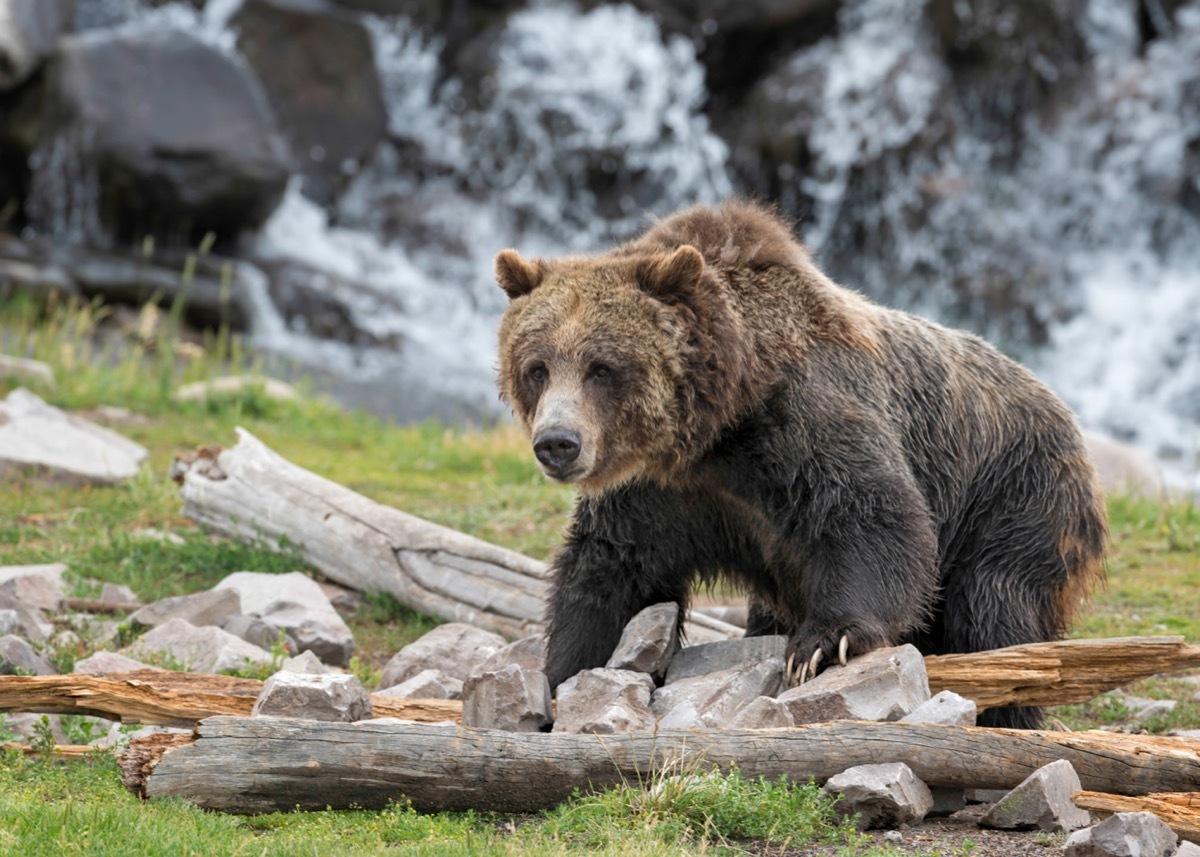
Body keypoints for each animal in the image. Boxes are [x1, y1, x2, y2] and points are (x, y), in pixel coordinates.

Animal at [489, 200, 1104, 729]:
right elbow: (610, 571)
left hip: (1015, 496)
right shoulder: (662, 493)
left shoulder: (803, 423)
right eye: (537, 366)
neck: (718, 428)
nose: (558, 442)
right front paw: (560, 675)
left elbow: (873, 516)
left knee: (994, 609)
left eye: (602, 367)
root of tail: (1064, 412)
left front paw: (823, 644)